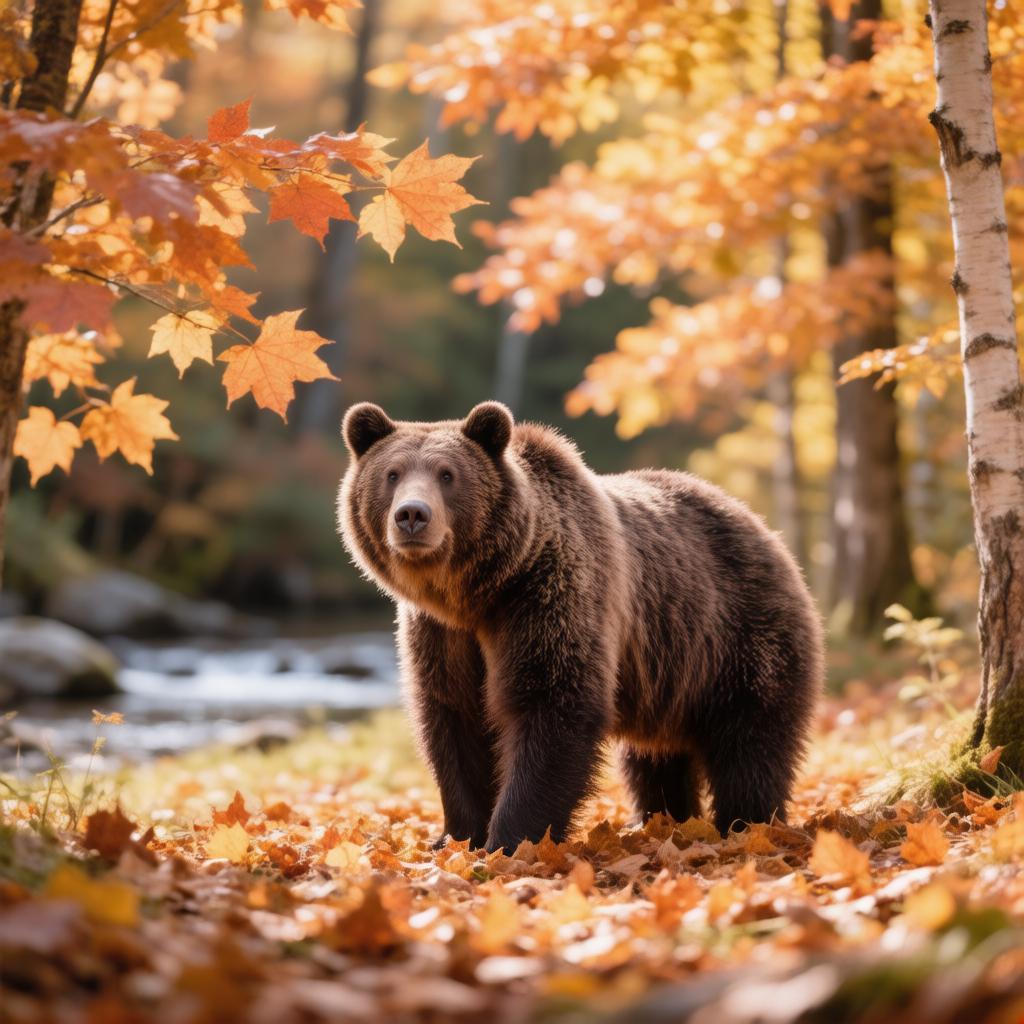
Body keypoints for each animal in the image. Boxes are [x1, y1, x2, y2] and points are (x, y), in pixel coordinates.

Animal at [339, 400, 823, 854]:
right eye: (392, 474)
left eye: (447, 474)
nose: (411, 515)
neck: (476, 594)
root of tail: (767, 532)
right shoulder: (442, 633)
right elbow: (454, 718)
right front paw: (457, 836)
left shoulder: (548, 594)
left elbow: (551, 702)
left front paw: (510, 840)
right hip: (670, 674)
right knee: (654, 759)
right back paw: (663, 820)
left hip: (740, 637)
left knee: (751, 745)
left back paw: (746, 825)